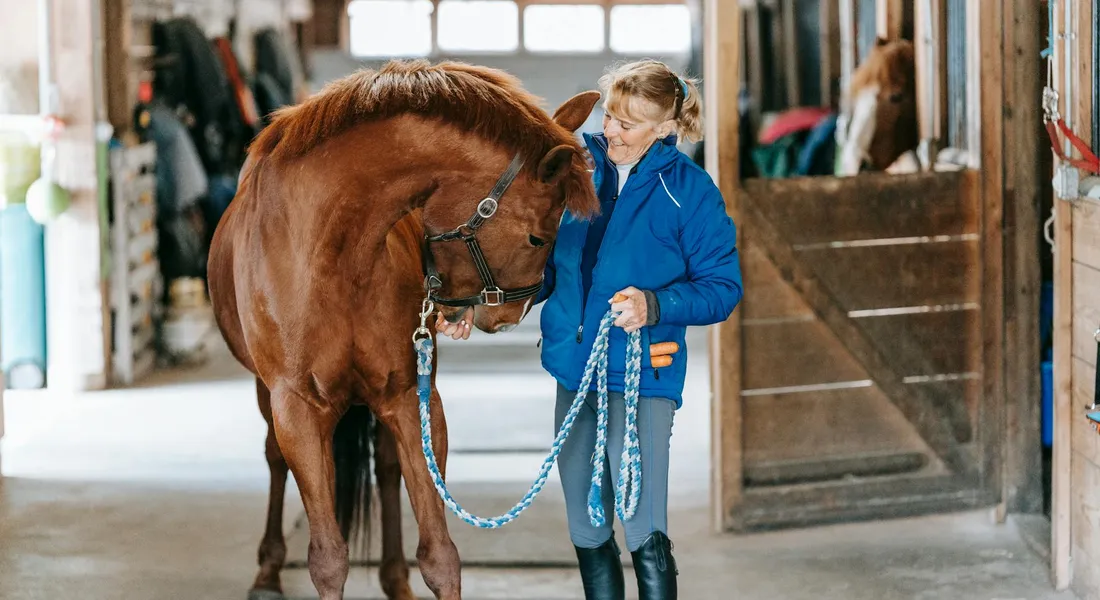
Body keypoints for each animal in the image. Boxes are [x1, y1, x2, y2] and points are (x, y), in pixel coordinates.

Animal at [207, 59, 601, 600]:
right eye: (538, 237)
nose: (509, 316)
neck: (335, 249)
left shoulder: (409, 397)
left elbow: (440, 555)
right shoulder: (298, 410)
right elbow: (327, 559)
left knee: (387, 468)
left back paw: (394, 578)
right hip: (268, 397)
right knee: (274, 459)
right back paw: (267, 570)